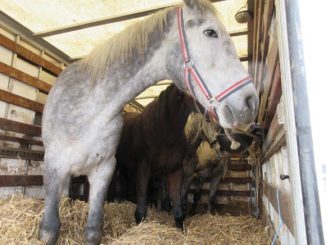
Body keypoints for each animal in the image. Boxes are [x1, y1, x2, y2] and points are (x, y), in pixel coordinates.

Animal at [39, 0, 258, 244]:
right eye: (210, 32)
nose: (250, 101)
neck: (91, 109)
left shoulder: (106, 170)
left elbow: (95, 231)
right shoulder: (55, 166)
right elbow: (49, 230)